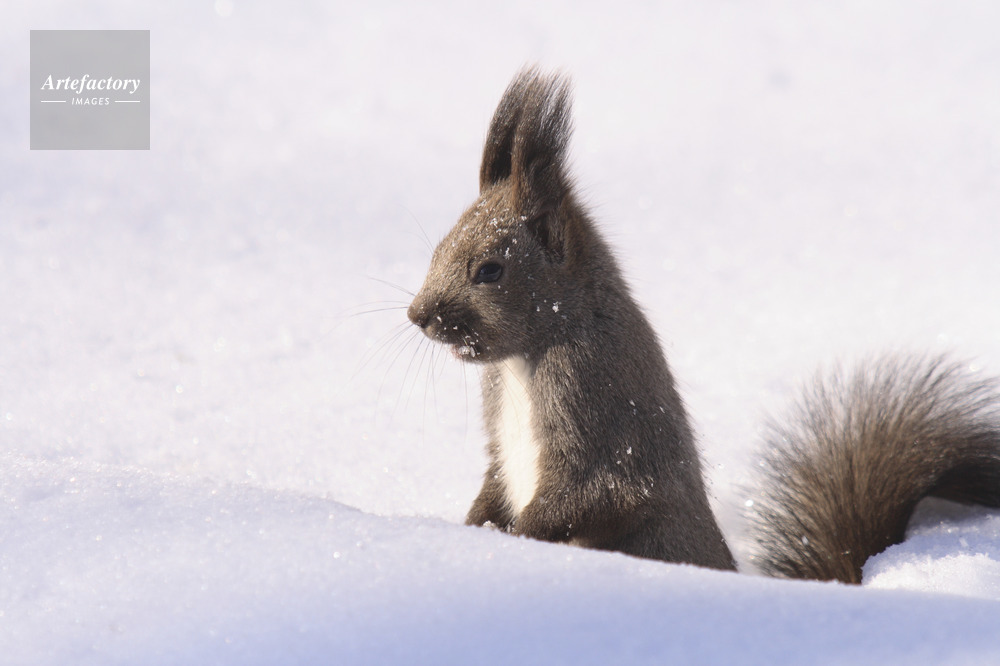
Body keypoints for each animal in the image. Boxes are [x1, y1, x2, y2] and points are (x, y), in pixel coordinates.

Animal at [406, 67, 1000, 583]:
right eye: (437, 248)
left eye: (490, 270)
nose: (418, 316)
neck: (525, 358)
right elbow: (495, 484)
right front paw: (471, 533)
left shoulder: (596, 403)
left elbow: (593, 493)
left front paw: (512, 544)